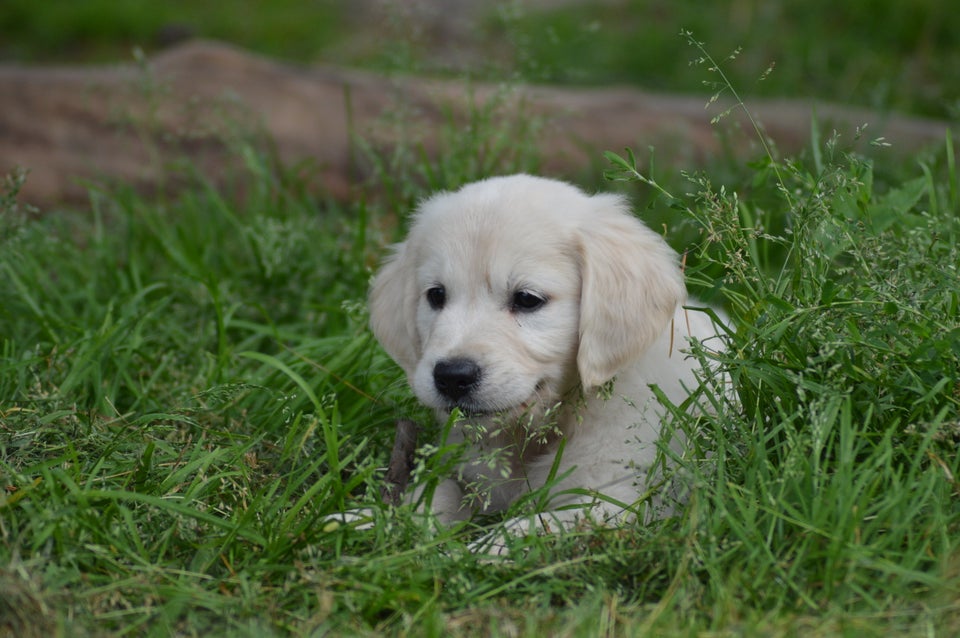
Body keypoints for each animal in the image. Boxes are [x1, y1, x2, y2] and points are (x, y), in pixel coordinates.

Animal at [368, 175, 720, 544]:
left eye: (527, 299)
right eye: (436, 295)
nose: (451, 376)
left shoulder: (620, 504)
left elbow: (529, 529)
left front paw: (474, 549)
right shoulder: (469, 474)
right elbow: (433, 495)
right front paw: (371, 520)